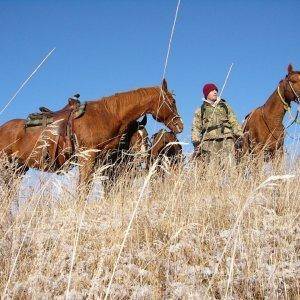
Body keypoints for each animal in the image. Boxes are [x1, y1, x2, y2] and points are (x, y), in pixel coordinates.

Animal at [0, 78, 183, 190]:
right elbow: (83, 190)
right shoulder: (87, 158)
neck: (106, 115)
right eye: (172, 101)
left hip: (18, 168)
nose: (179, 125)